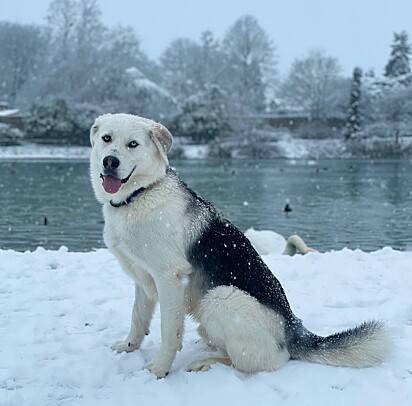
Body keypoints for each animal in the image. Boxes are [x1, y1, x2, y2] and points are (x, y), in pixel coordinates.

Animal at [88, 113, 392, 378]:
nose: (110, 161)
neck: (141, 194)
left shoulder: (169, 279)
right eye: (106, 138)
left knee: (260, 361)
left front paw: (160, 370)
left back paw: (208, 362)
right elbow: (138, 318)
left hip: (219, 298)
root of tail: (294, 330)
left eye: (133, 144)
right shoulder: (143, 279)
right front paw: (129, 347)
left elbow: (168, 331)